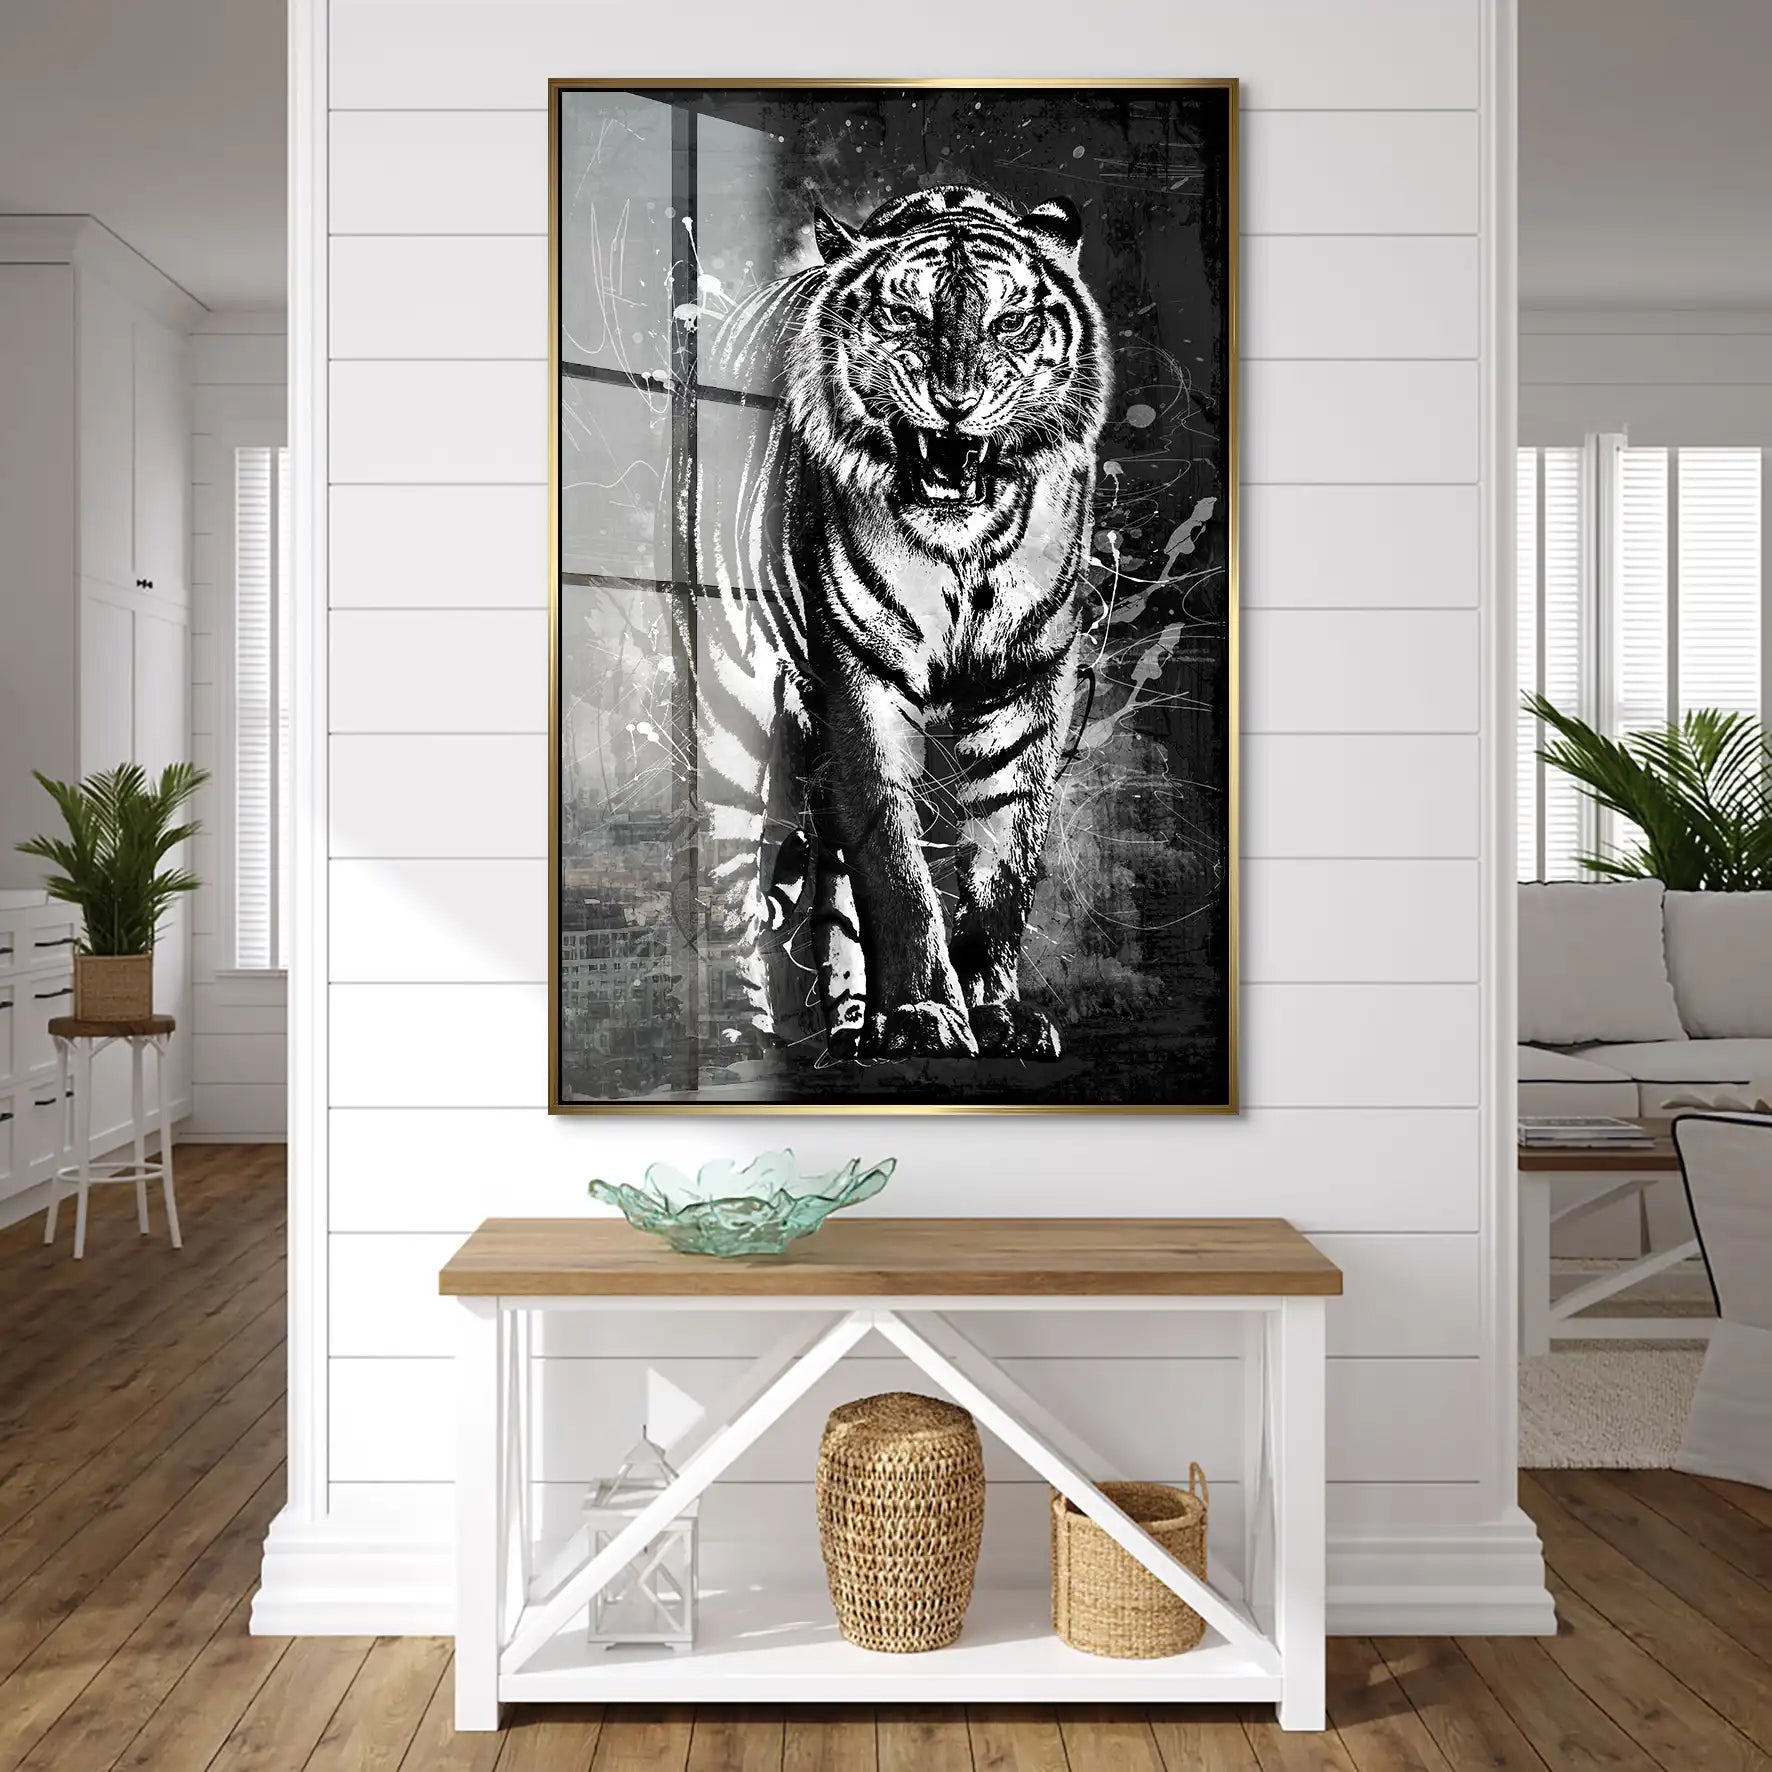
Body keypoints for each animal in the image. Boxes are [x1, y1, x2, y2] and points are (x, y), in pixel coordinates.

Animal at [692, 184, 1111, 1064]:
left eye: (1009, 322)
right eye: (905, 317)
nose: (955, 404)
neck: (964, 551)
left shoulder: (1028, 685)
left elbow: (1003, 864)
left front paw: (1000, 1016)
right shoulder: (863, 679)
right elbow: (895, 865)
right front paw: (923, 1013)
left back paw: (854, 1026)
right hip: (732, 720)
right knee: (731, 874)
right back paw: (748, 1032)